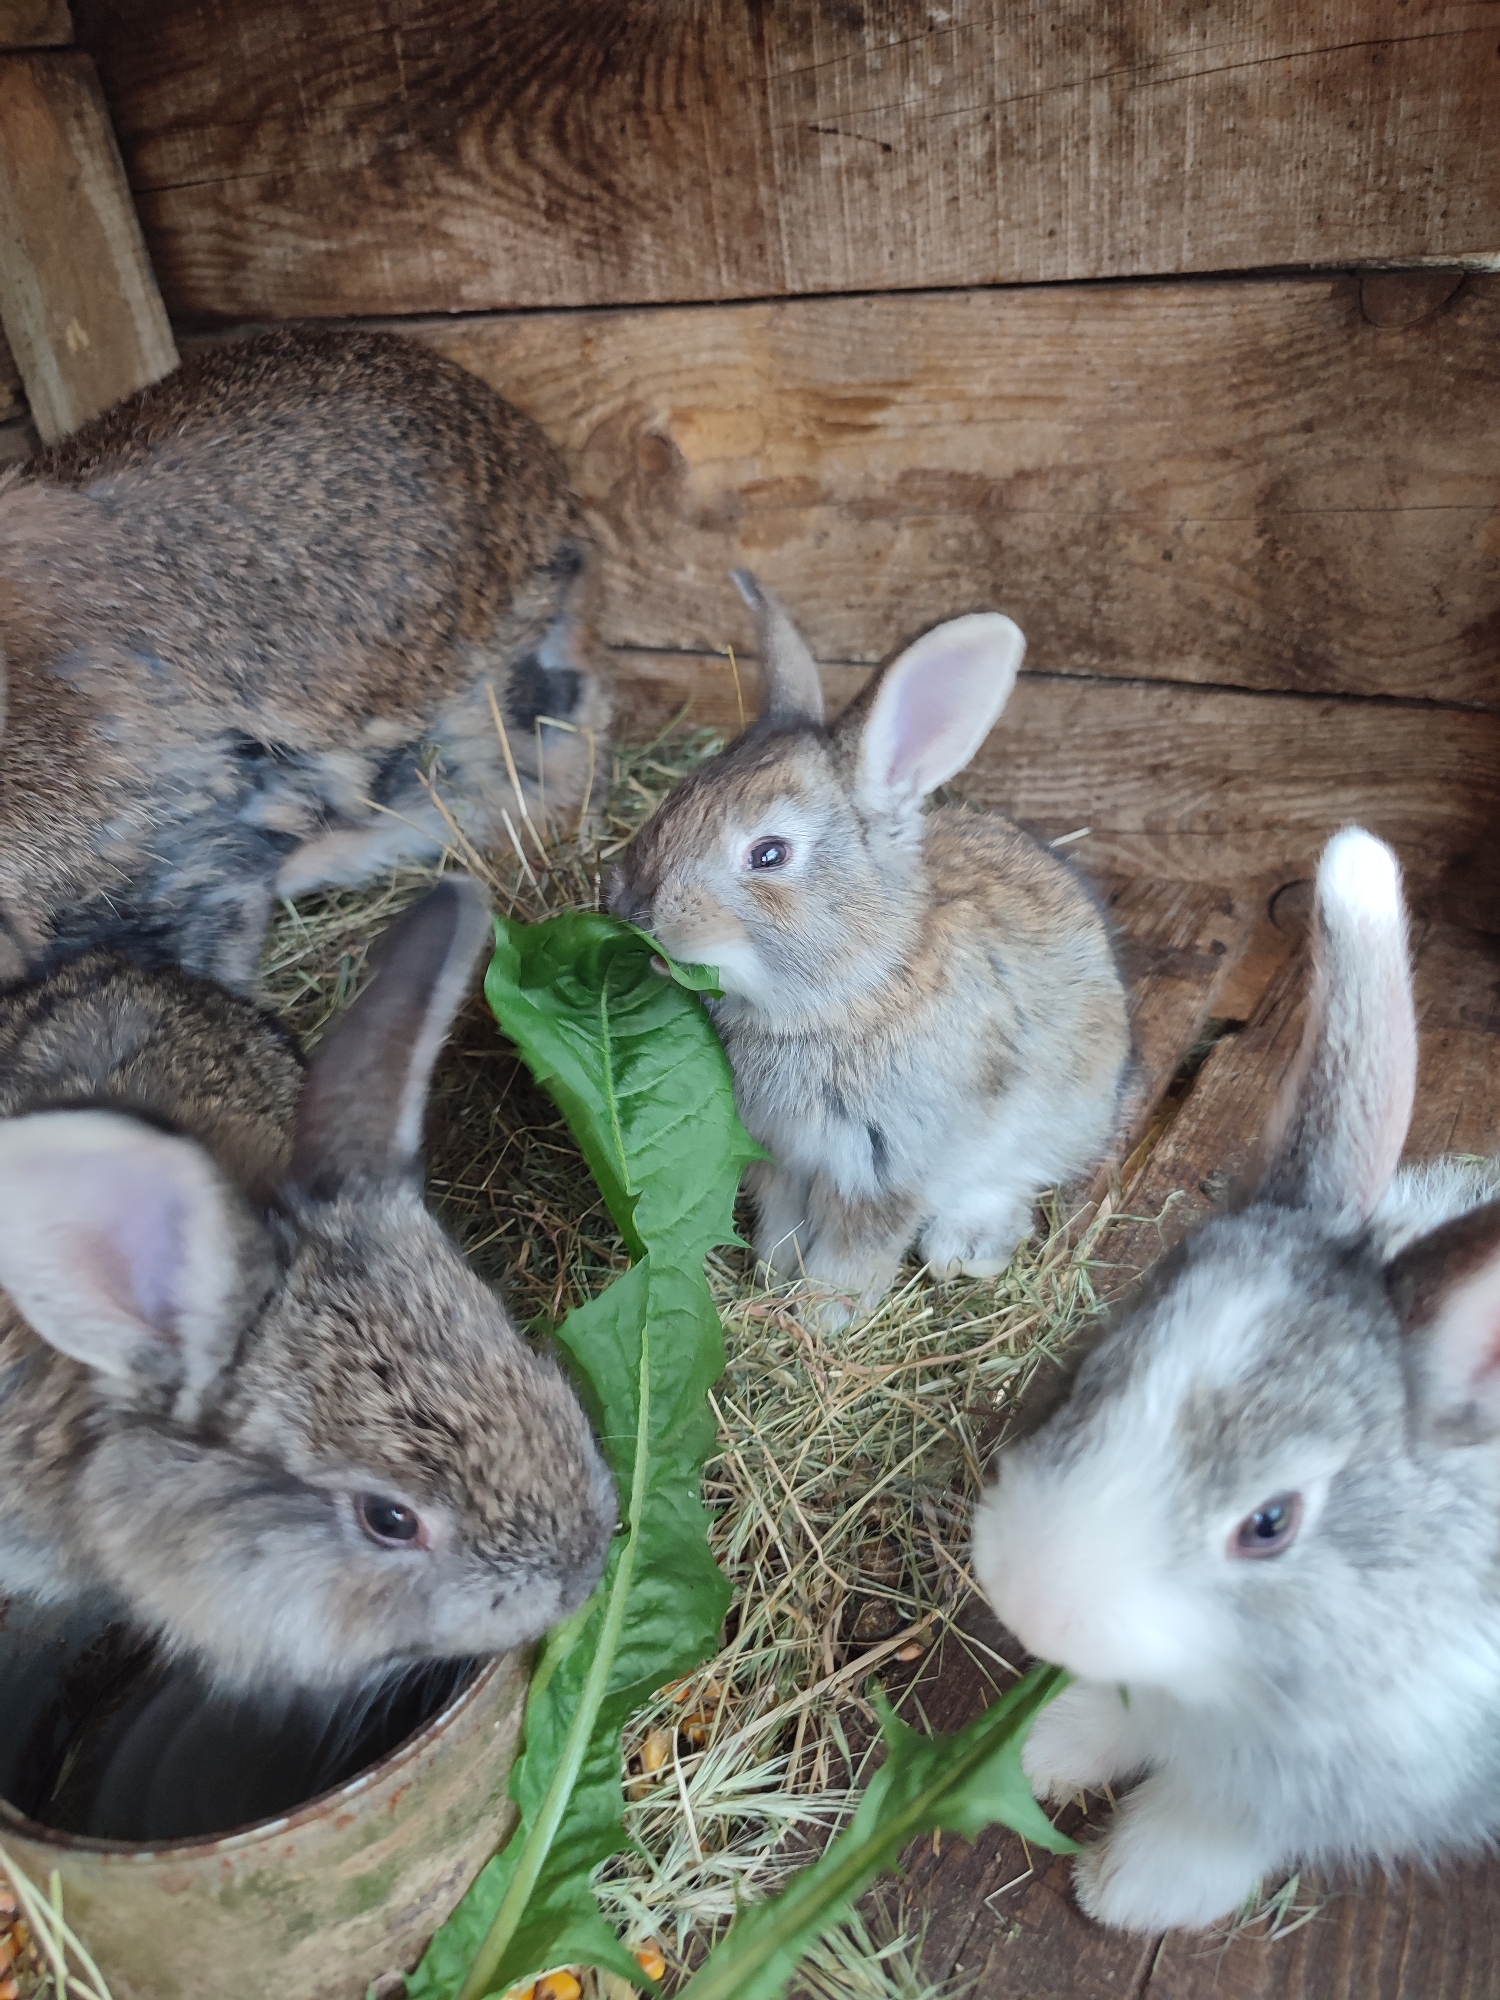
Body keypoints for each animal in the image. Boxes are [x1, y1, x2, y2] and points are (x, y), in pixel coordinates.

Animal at [608, 572, 1132, 1329]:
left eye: (770, 854)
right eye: (676, 799)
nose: (633, 913)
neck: (854, 988)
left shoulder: (883, 1167)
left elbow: (855, 1251)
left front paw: (824, 1318)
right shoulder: (781, 1159)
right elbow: (783, 1225)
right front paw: (773, 1280)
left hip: (1050, 1123)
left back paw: (961, 1251)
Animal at [973, 826, 1500, 1934]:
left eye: (1270, 1523)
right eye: (1101, 1368)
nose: (1034, 1601)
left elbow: (1223, 1826)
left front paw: (1126, 1886)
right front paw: (1047, 1753)